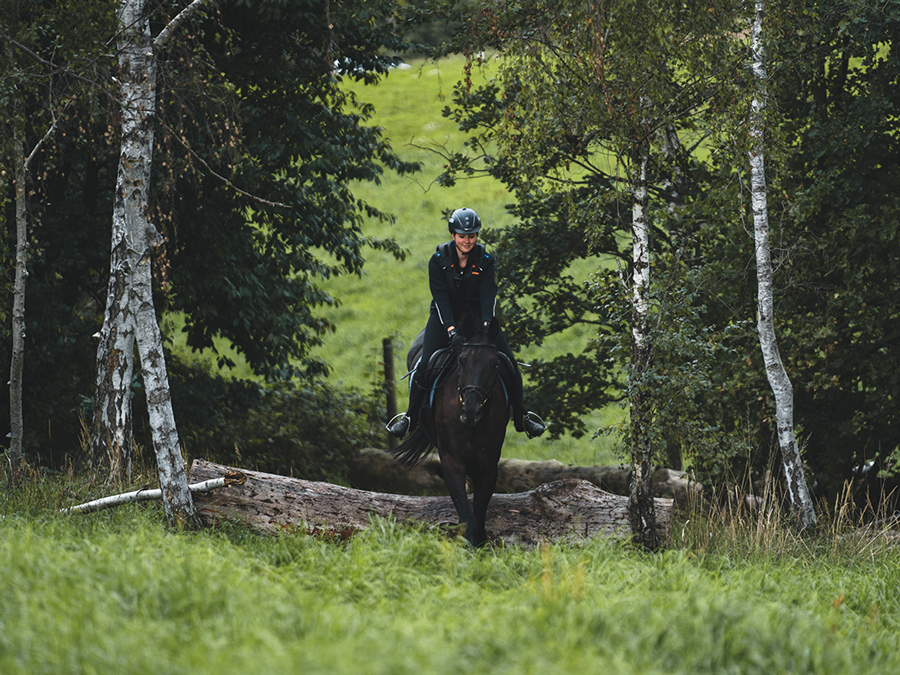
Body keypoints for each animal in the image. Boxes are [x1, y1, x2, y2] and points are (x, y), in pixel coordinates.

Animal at [392, 318, 510, 548]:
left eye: (494, 363)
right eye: (462, 360)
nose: (471, 412)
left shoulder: (488, 466)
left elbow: (479, 515)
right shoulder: (452, 461)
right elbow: (467, 515)